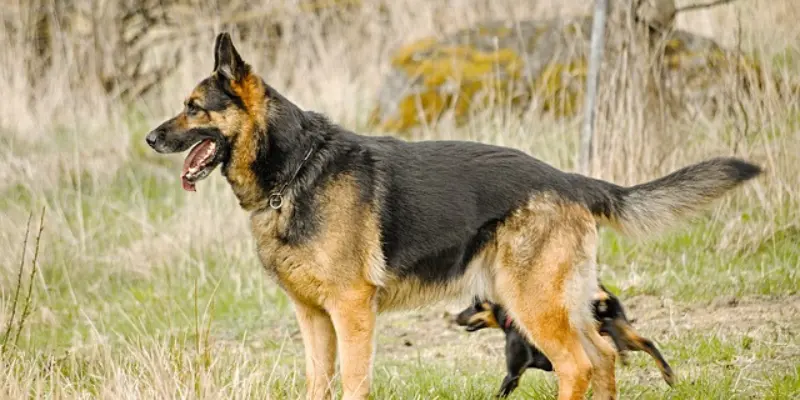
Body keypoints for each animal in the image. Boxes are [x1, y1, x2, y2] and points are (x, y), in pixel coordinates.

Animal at [456, 284, 676, 396]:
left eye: (476, 304)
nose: (456, 317)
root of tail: (598, 291)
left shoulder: (512, 375)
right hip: (622, 329)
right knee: (647, 343)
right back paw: (668, 375)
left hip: (593, 325)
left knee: (610, 334)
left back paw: (623, 354)